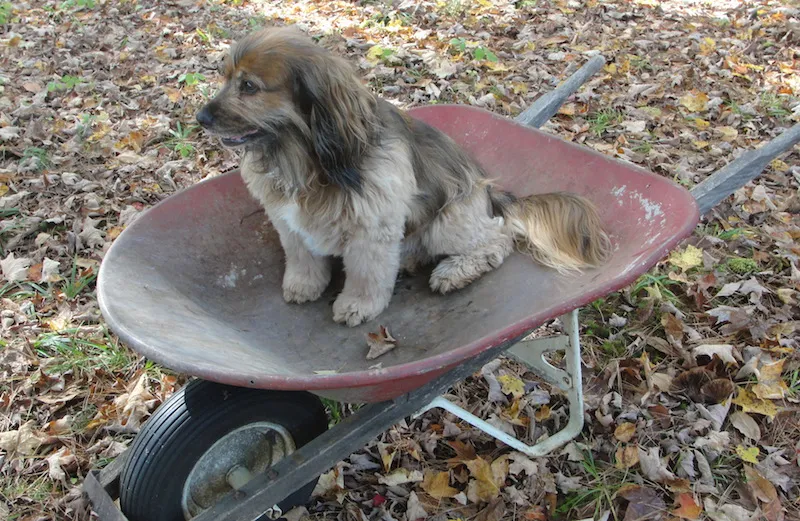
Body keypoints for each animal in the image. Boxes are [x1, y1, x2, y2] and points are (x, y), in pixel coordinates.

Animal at [197, 27, 608, 324]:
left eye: (248, 86)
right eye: (225, 78)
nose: (200, 118)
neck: (304, 157)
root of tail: (493, 193)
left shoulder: (371, 228)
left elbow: (366, 275)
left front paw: (358, 306)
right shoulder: (290, 224)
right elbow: (302, 258)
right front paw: (304, 285)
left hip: (449, 220)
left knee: (499, 238)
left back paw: (453, 271)